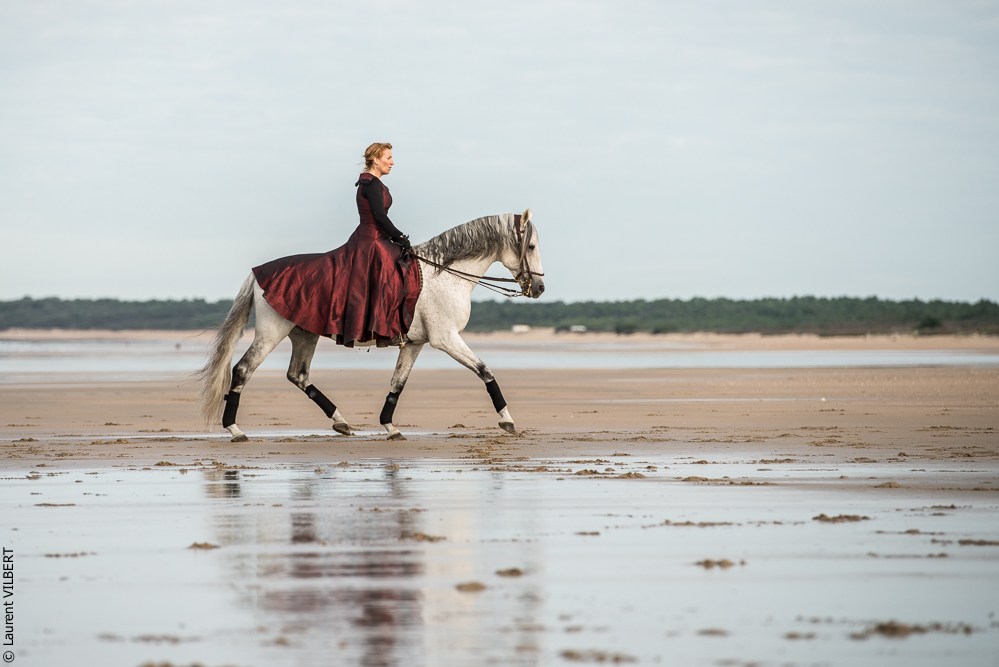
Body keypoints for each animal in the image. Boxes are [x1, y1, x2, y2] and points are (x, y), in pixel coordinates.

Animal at [196, 209, 545, 442]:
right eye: (530, 247)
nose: (539, 289)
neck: (444, 274)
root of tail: (257, 274)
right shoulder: (445, 338)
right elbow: (485, 371)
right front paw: (507, 420)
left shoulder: (415, 343)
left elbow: (397, 384)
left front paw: (390, 426)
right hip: (271, 333)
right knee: (243, 370)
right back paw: (235, 429)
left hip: (304, 334)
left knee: (298, 375)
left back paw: (341, 422)